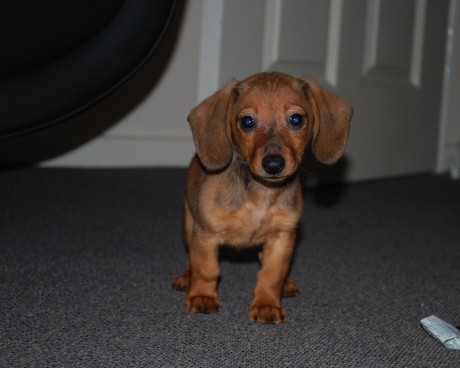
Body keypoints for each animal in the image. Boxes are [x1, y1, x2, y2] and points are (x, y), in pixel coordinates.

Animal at [172, 71, 352, 322]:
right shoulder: (206, 236)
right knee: (192, 259)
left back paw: (286, 284)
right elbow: (207, 269)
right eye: (247, 122)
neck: (261, 194)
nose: (274, 165)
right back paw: (186, 277)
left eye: (296, 120)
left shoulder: (281, 238)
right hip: (189, 226)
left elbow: (271, 274)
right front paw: (202, 296)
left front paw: (267, 303)